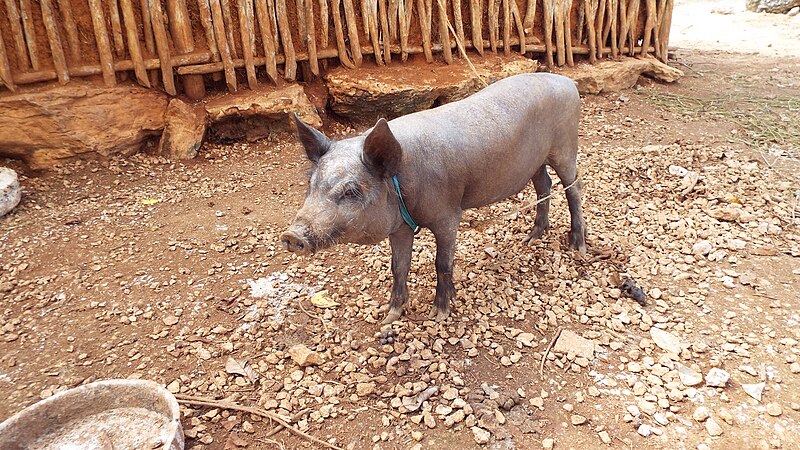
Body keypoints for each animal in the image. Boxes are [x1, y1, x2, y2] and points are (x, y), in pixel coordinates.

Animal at [282, 74, 588, 326]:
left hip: (566, 146)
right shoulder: (400, 226)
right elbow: (398, 266)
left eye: (351, 191)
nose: (291, 235)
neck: (401, 181)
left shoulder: (448, 214)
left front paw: (438, 314)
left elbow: (442, 263)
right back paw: (531, 239)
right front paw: (389, 316)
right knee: (544, 184)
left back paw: (577, 246)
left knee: (573, 186)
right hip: (536, 162)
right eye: (311, 183)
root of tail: (568, 82)